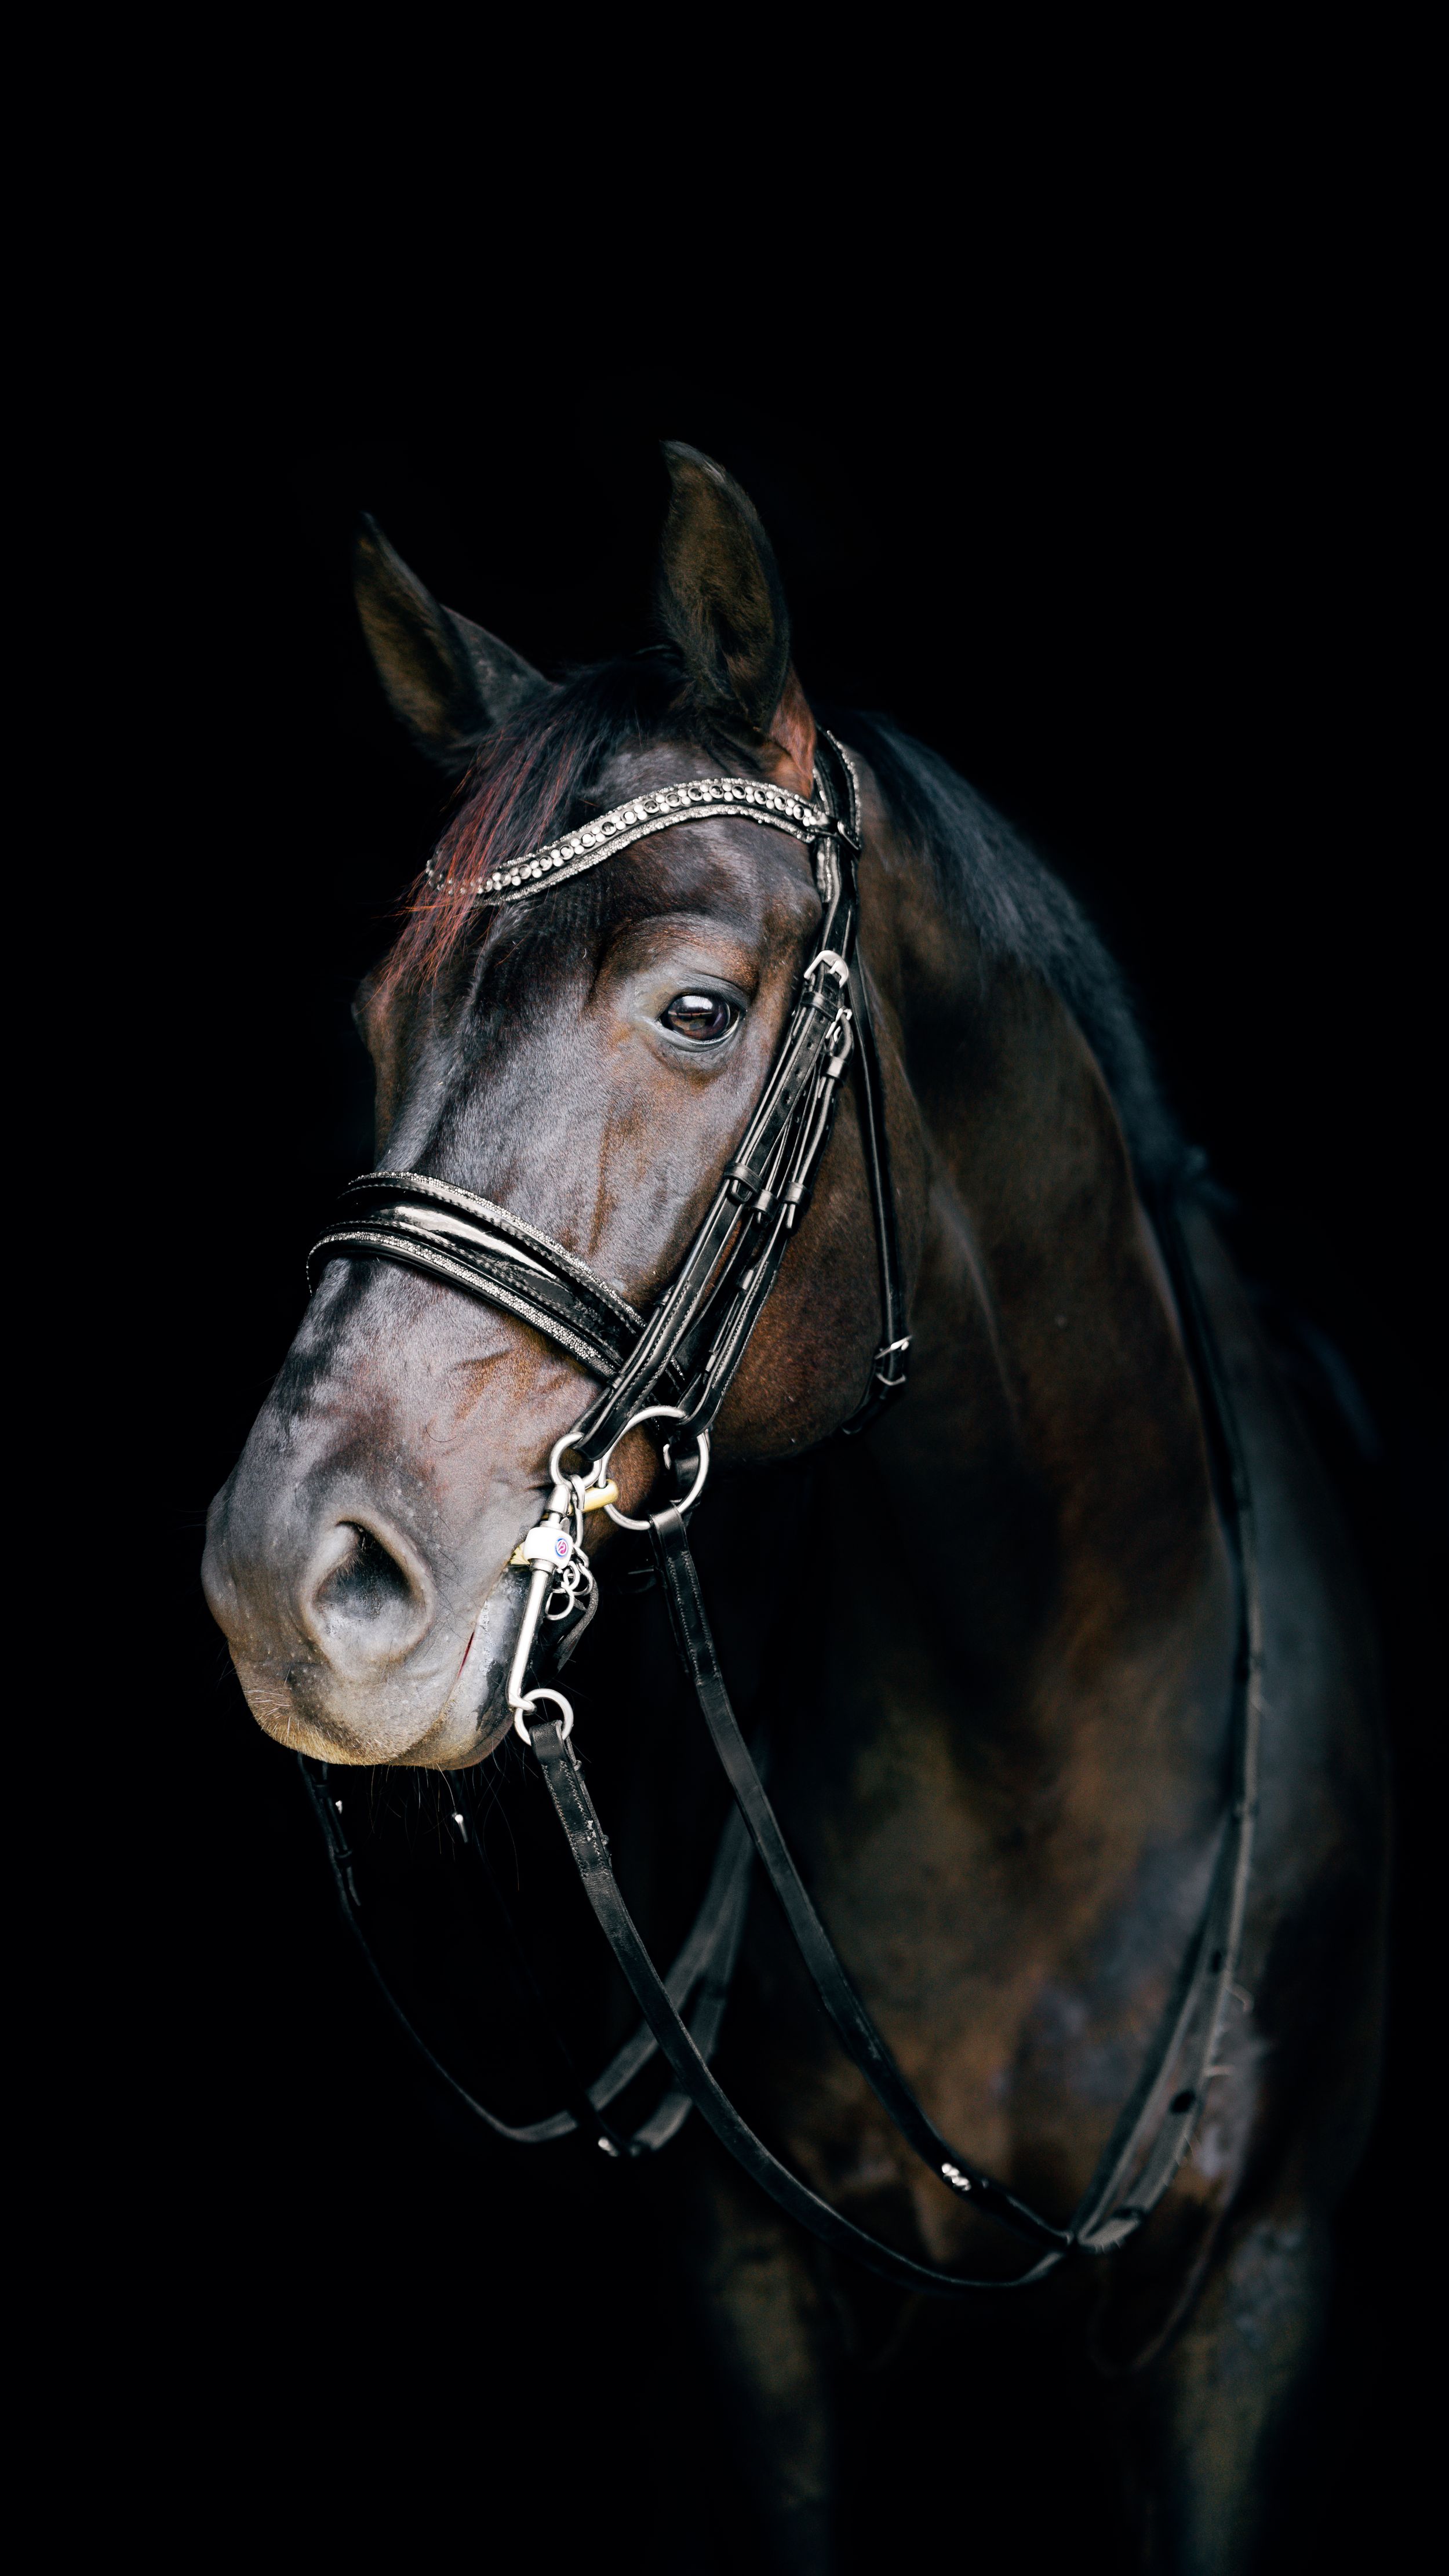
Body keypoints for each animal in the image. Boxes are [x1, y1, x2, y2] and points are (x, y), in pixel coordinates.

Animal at [202, 444, 1386, 2571]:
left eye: (692, 1007)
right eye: (376, 1018)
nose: (280, 1583)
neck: (1036, 1728)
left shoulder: (1258, 2297)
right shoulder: (752, 2296)